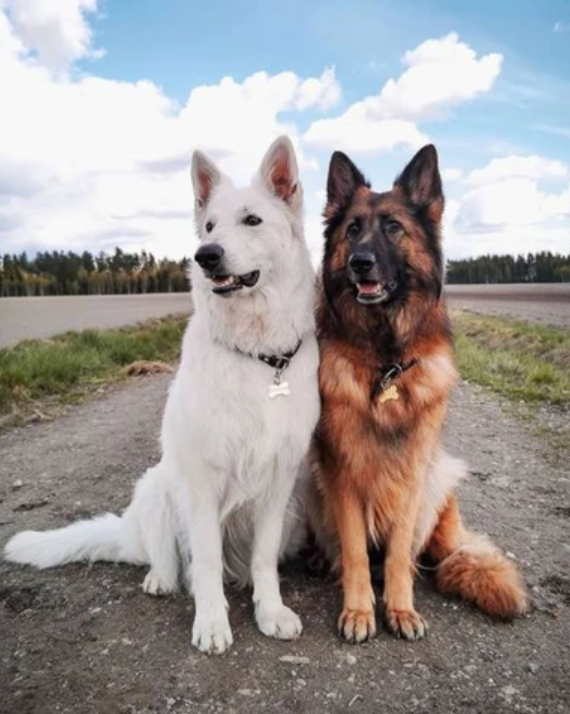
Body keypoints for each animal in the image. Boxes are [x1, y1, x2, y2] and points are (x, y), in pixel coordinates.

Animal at [3, 136, 320, 652]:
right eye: (209, 226)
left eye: (252, 220)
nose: (205, 255)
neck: (254, 354)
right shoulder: (203, 482)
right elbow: (205, 561)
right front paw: (211, 622)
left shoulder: (278, 484)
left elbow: (263, 559)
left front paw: (269, 611)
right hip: (156, 489)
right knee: (172, 564)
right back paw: (158, 578)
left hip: (293, 515)